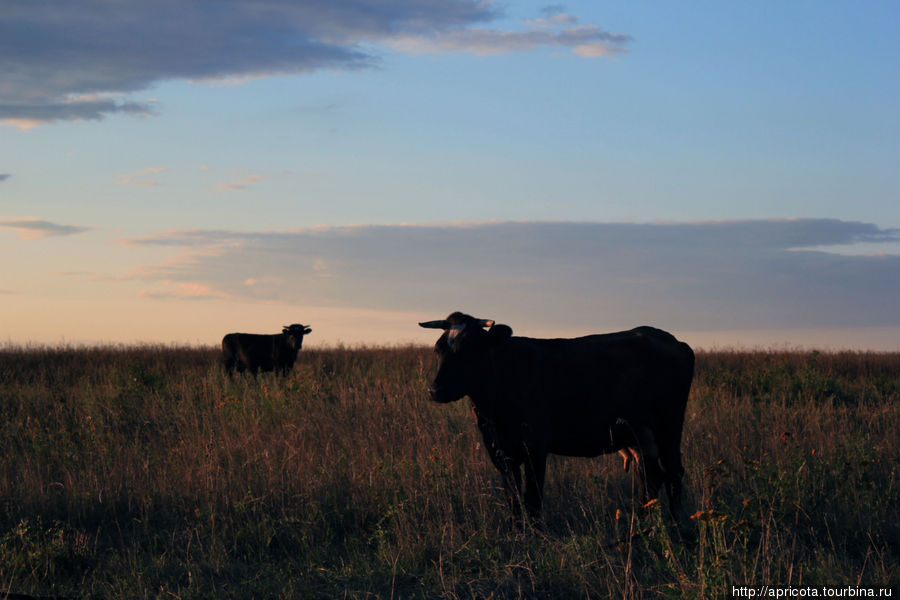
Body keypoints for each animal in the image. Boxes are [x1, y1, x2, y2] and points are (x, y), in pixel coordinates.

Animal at [418, 312, 692, 524]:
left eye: (469, 350)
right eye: (438, 350)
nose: (435, 390)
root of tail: (671, 340)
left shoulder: (535, 448)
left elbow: (532, 499)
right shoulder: (500, 451)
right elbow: (513, 498)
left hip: (669, 427)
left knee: (673, 473)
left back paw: (677, 526)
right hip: (639, 435)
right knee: (650, 476)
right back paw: (643, 523)